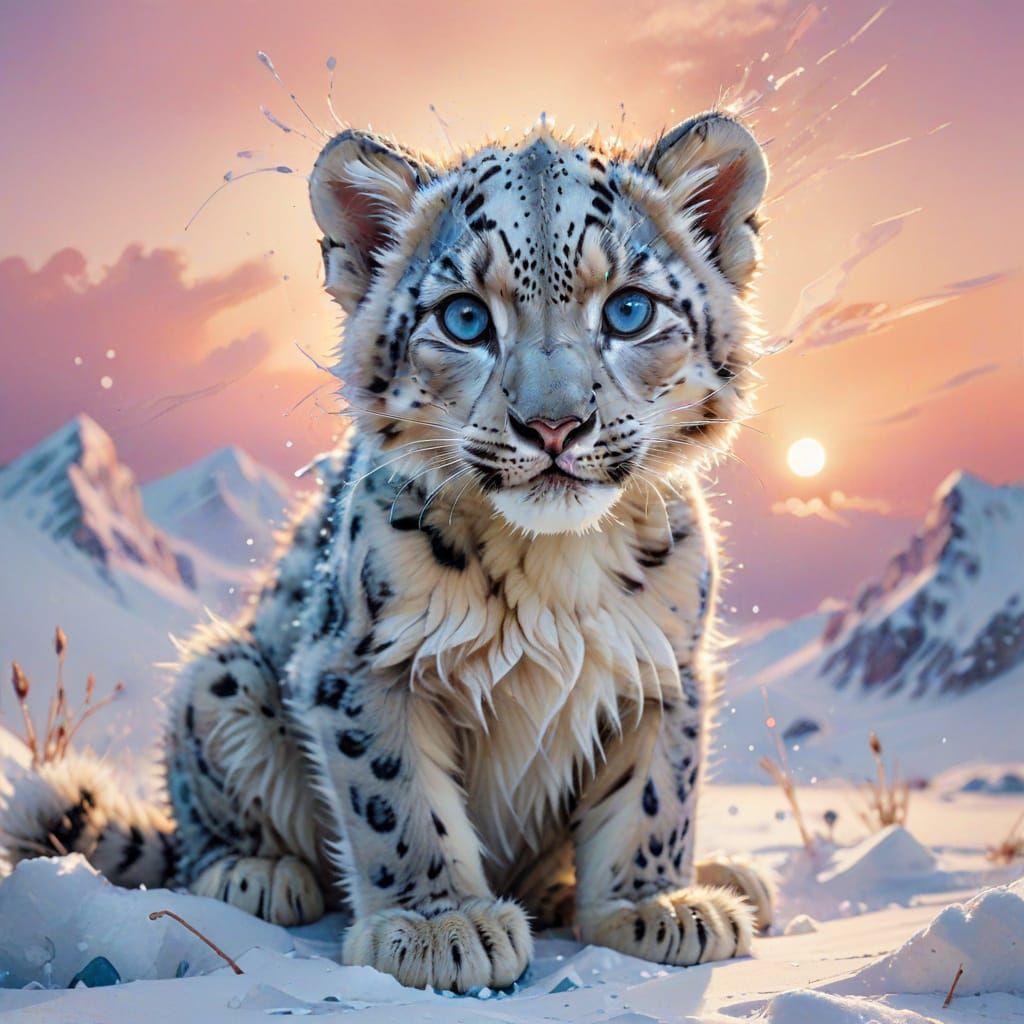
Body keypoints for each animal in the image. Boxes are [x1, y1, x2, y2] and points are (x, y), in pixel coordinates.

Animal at [0, 111, 774, 993]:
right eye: (465, 318)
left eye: (630, 311)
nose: (553, 425)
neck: (553, 567)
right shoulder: (365, 662)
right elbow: (395, 796)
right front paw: (443, 925)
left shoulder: (666, 663)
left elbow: (655, 792)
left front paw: (655, 905)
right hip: (216, 675)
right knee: (201, 834)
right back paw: (255, 872)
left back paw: (723, 877)